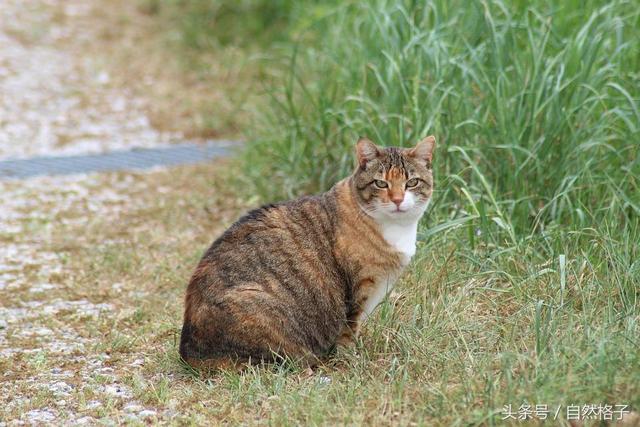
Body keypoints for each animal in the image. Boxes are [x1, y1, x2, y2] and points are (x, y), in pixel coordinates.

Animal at [181, 137, 436, 372]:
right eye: (381, 183)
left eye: (412, 182)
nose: (397, 199)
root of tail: (188, 351)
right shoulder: (356, 294)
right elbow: (347, 332)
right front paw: (350, 359)